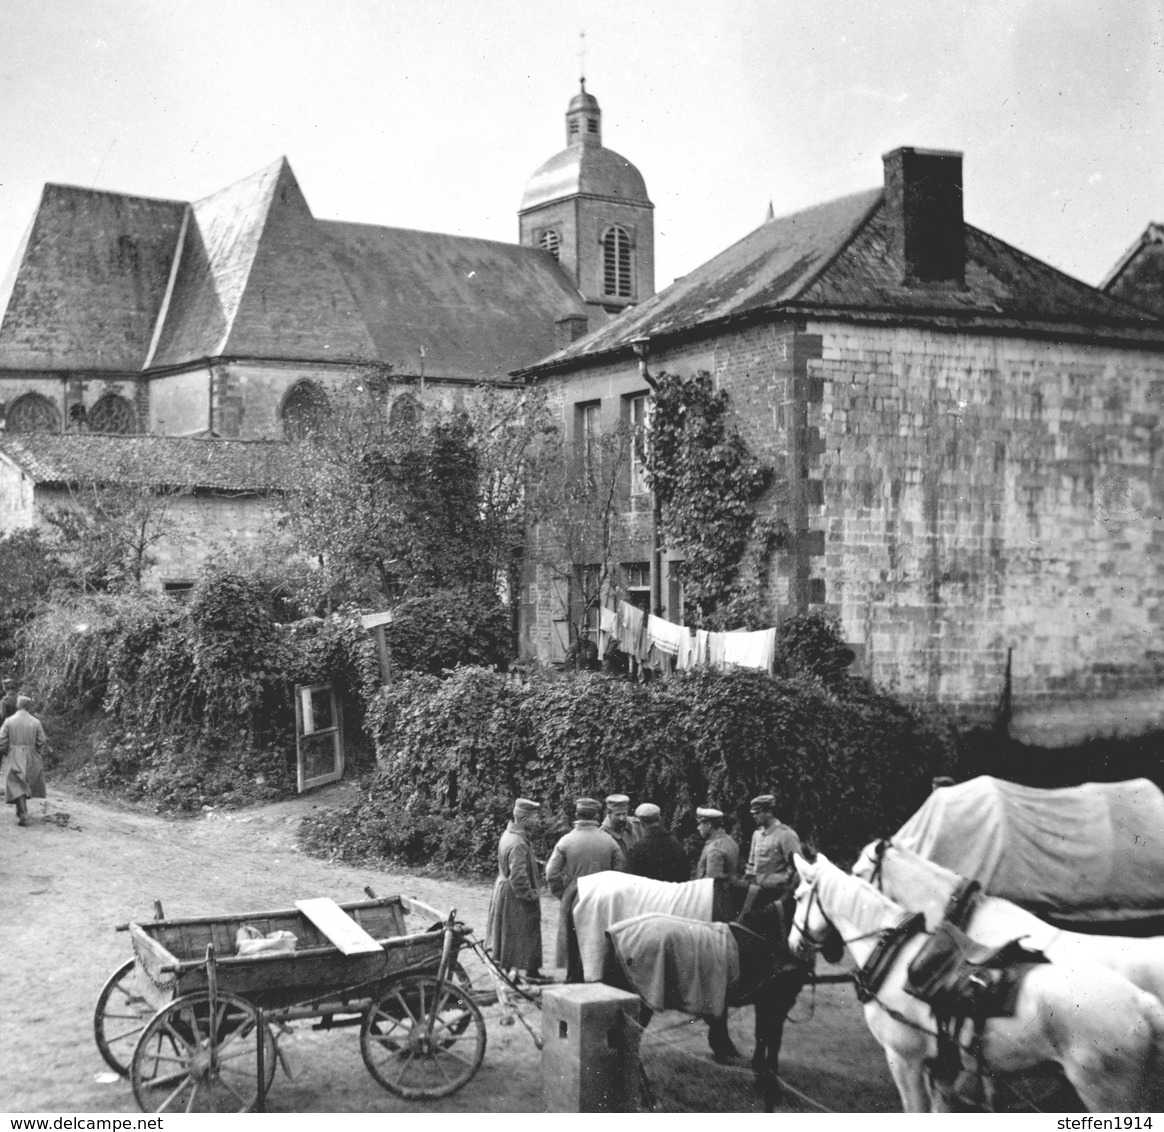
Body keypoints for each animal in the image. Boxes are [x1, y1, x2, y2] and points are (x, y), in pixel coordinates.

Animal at [791, 851, 1164, 1107]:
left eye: (796, 896)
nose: (793, 944)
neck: (896, 956)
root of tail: (1142, 1003)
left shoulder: (905, 1061)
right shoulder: (944, 1068)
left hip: (1106, 1094)